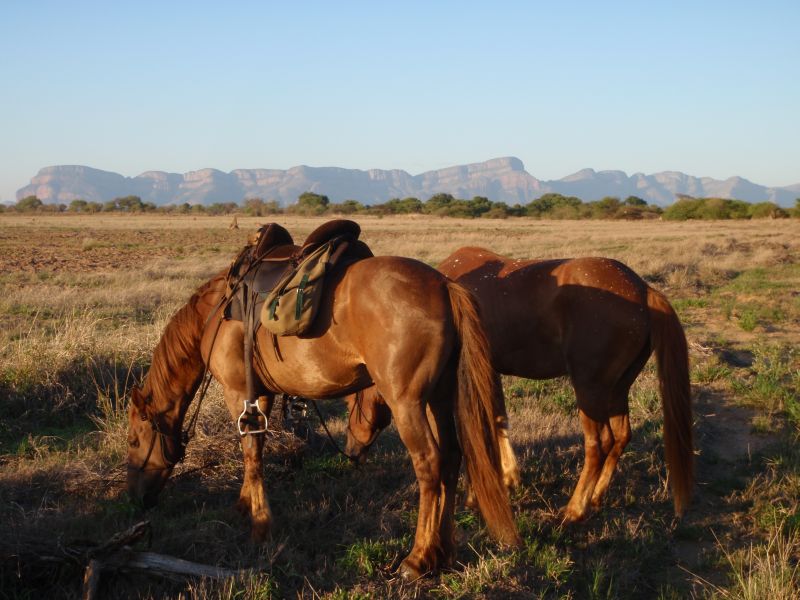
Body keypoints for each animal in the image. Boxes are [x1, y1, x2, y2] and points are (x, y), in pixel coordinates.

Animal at [122, 232, 516, 580]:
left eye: (133, 440)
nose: (136, 498)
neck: (216, 312)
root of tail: (444, 286)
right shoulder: (262, 393)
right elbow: (254, 452)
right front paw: (246, 505)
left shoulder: (238, 392)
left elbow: (250, 452)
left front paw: (260, 526)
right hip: (439, 396)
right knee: (451, 457)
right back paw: (443, 553)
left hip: (408, 402)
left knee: (430, 464)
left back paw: (417, 560)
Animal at [344, 246, 692, 524]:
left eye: (349, 403)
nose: (351, 452)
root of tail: (643, 290)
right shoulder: (490, 370)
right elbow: (498, 419)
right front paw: (508, 477)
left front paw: (477, 493)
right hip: (616, 390)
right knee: (621, 437)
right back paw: (595, 498)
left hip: (590, 391)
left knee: (599, 443)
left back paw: (575, 510)